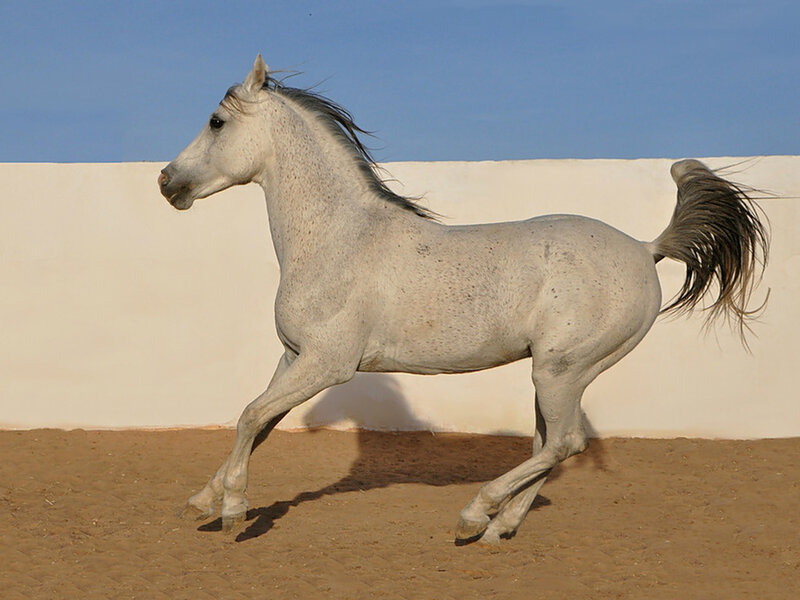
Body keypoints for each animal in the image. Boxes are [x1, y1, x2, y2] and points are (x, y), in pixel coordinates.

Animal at [158, 56, 769, 545]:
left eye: (216, 122)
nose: (167, 182)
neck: (341, 238)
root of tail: (646, 249)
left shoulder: (328, 365)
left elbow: (248, 416)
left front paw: (233, 512)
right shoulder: (293, 356)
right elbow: (258, 422)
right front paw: (200, 504)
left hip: (561, 370)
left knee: (564, 443)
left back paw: (476, 514)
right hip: (561, 374)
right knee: (548, 444)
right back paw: (499, 527)